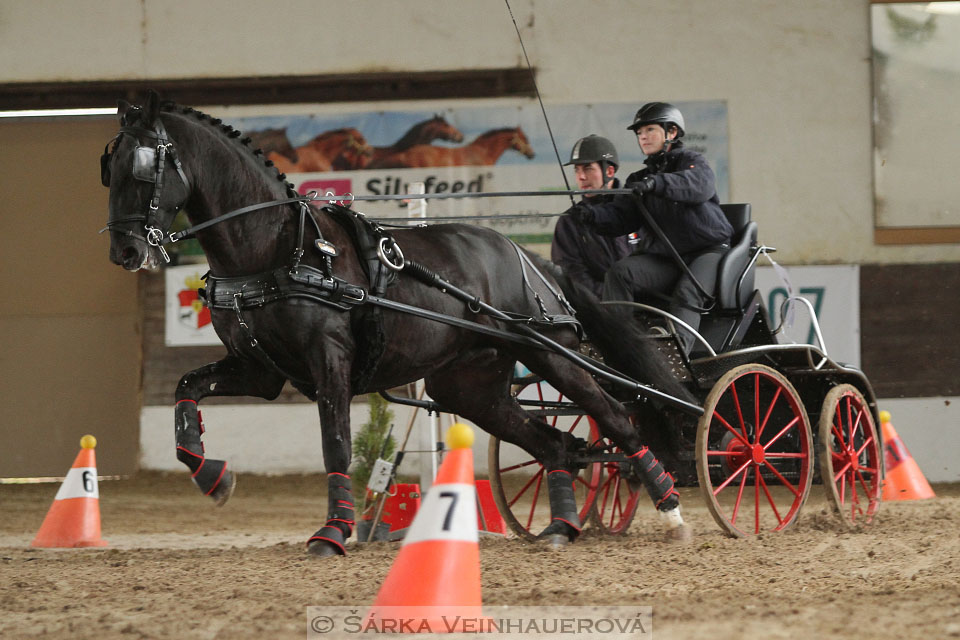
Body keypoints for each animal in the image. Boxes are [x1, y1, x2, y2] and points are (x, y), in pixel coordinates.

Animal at [101, 92, 688, 556]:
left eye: (143, 168)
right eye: (108, 168)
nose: (124, 251)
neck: (275, 247)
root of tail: (533, 260)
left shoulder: (328, 359)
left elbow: (335, 441)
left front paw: (333, 533)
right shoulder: (258, 369)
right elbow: (185, 390)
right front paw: (214, 478)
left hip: (549, 353)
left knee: (614, 416)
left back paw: (671, 507)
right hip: (469, 387)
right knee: (552, 443)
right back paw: (563, 526)